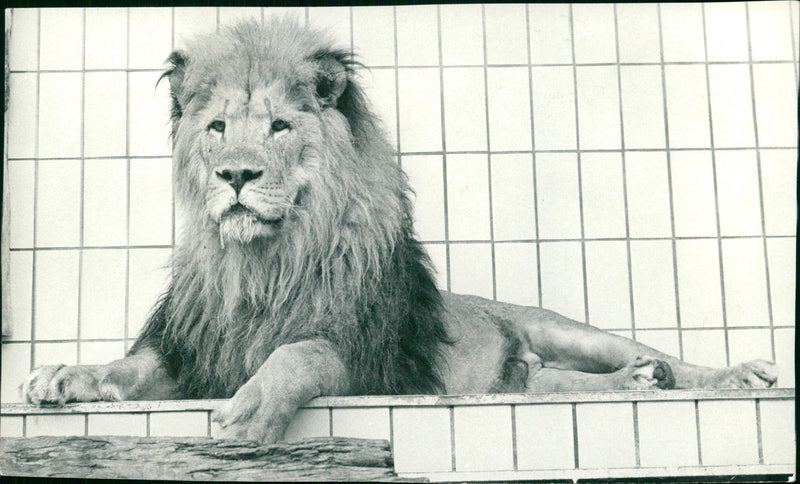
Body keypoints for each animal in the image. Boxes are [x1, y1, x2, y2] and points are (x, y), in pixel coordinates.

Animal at [23, 19, 777, 443]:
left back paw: (723, 374)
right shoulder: (188, 352)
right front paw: (64, 374)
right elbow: (126, 368)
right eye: (216, 128)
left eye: (279, 127)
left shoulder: (374, 358)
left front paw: (257, 402)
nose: (235, 174)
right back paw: (635, 383)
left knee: (658, 356)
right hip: (520, 385)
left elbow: (303, 352)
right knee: (556, 384)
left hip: (569, 330)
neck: (268, 262)